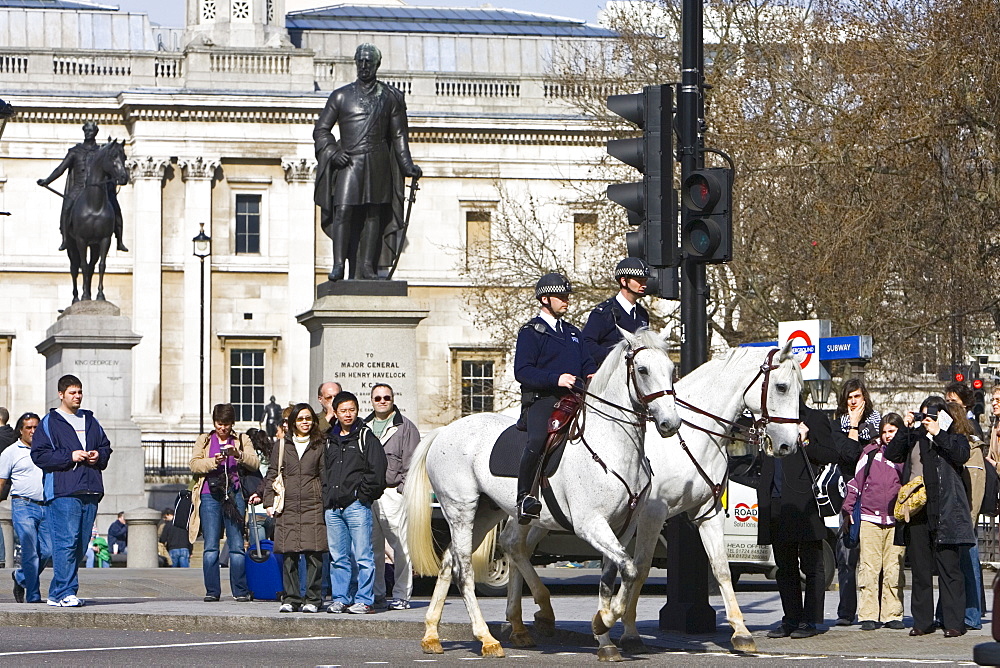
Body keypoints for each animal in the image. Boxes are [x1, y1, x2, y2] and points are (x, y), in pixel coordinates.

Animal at [404, 328, 680, 656]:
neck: (612, 447)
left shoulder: (622, 528)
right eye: (643, 369)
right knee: (466, 570)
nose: (670, 423)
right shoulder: (590, 524)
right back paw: (487, 638)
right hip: (461, 509)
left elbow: (614, 576)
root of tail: (442, 431)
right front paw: (603, 622)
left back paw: (432, 634)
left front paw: (604, 637)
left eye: (672, 370)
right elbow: (629, 570)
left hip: (485, 512)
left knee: (450, 561)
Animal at [504, 342, 800, 660]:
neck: (690, 438)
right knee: (514, 547)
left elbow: (721, 567)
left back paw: (524, 623)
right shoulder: (652, 513)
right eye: (781, 387)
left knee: (518, 548)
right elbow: (641, 567)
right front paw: (627, 630)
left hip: (545, 517)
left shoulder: (707, 511)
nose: (789, 445)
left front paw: (741, 633)